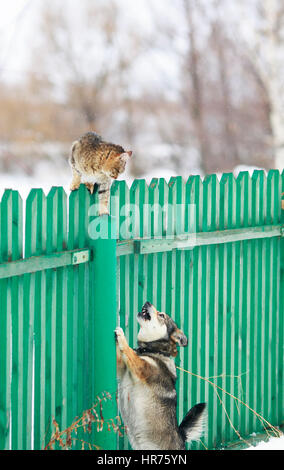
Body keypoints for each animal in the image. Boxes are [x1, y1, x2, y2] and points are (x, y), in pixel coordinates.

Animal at [115, 302, 206, 450]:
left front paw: (121, 335)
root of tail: (182, 437)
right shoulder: (121, 369)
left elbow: (129, 351)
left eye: (161, 315)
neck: (153, 350)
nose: (147, 302)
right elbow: (123, 354)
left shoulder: (141, 367)